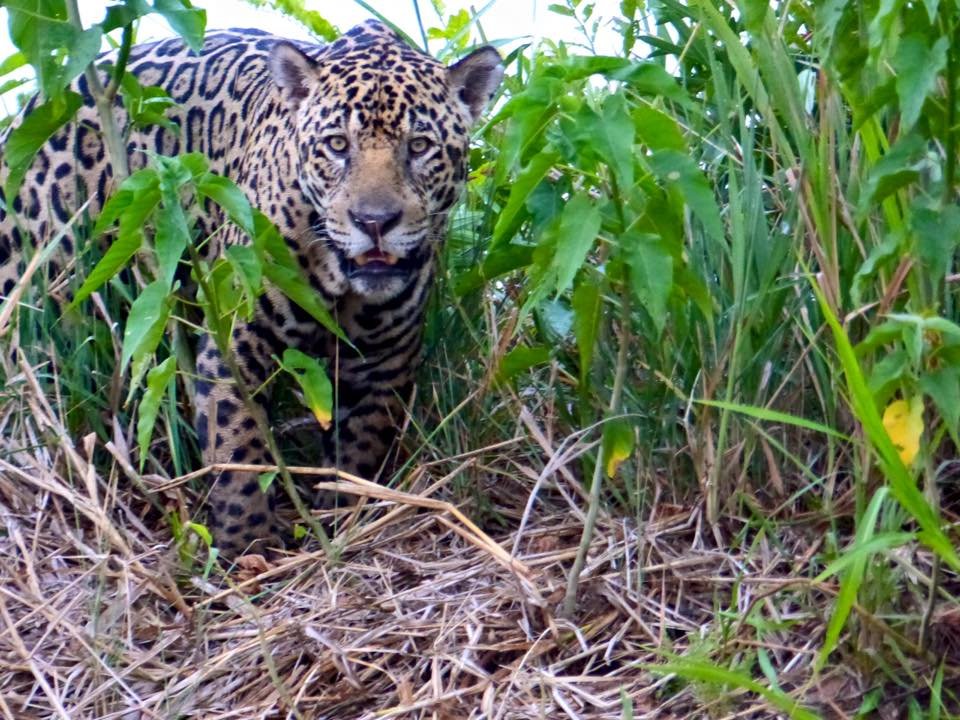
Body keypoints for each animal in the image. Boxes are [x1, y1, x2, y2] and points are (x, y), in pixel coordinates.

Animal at [0, 20, 503, 557]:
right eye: (336, 145)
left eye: (420, 146)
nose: (374, 222)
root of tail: (39, 101)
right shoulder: (238, 341)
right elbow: (238, 443)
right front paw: (248, 544)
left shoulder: (384, 359)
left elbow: (359, 446)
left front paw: (344, 514)